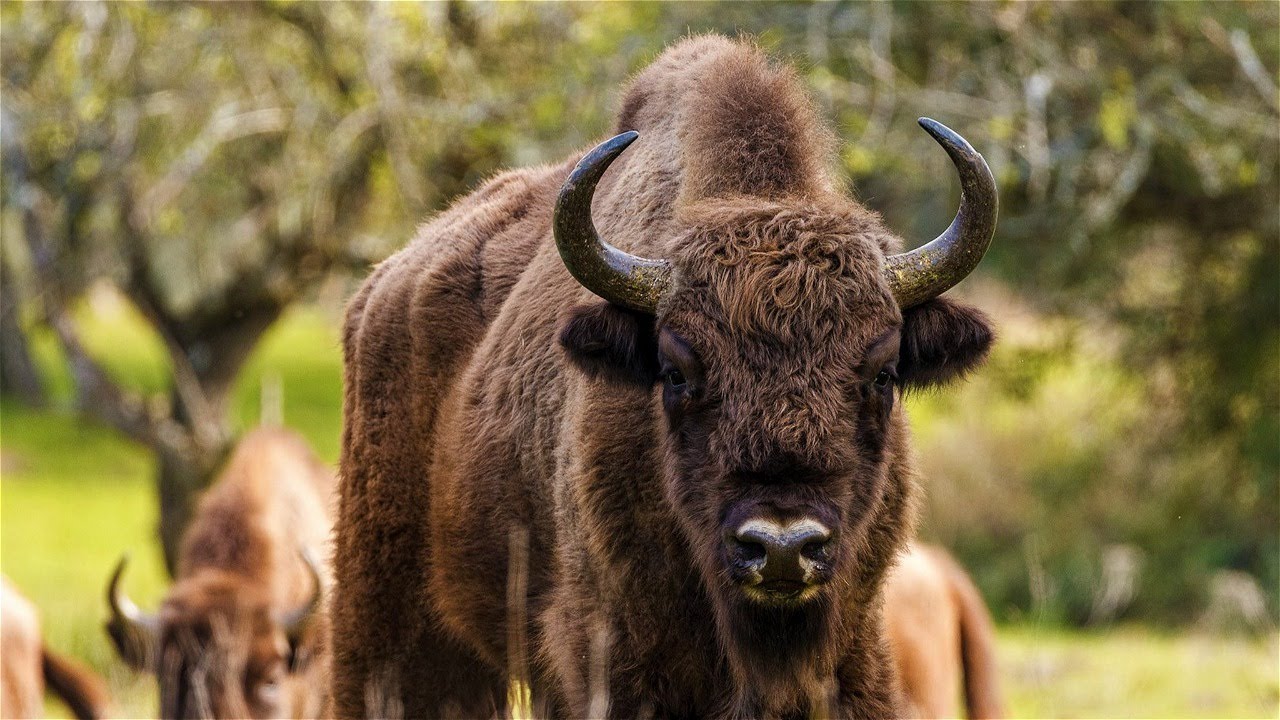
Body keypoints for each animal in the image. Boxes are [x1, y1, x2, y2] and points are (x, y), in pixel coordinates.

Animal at [332, 35, 998, 718]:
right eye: (676, 372)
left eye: (884, 373)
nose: (782, 547)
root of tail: (380, 290)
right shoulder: (611, 656)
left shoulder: (856, 648)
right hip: (390, 616)